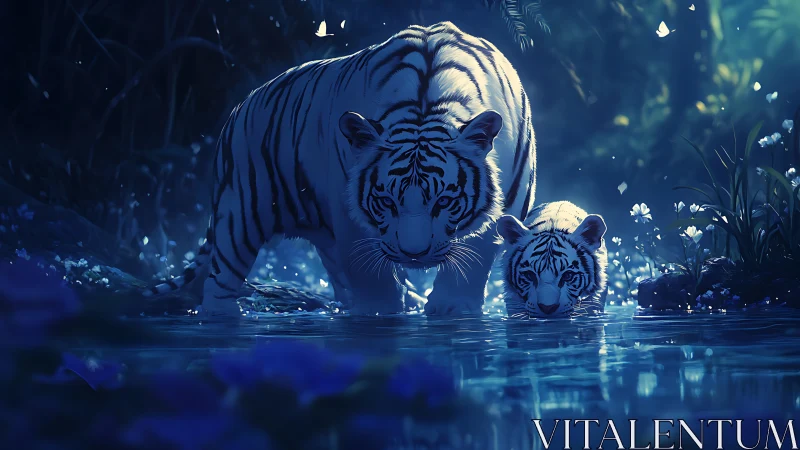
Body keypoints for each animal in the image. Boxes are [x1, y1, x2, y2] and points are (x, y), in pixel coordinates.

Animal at [143, 21, 537, 316]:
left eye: (444, 201)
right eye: (387, 202)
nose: (414, 255)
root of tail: (239, 107)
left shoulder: (504, 207)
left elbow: (472, 260)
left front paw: (451, 309)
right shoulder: (351, 220)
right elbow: (373, 280)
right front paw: (382, 314)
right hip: (239, 215)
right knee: (220, 284)